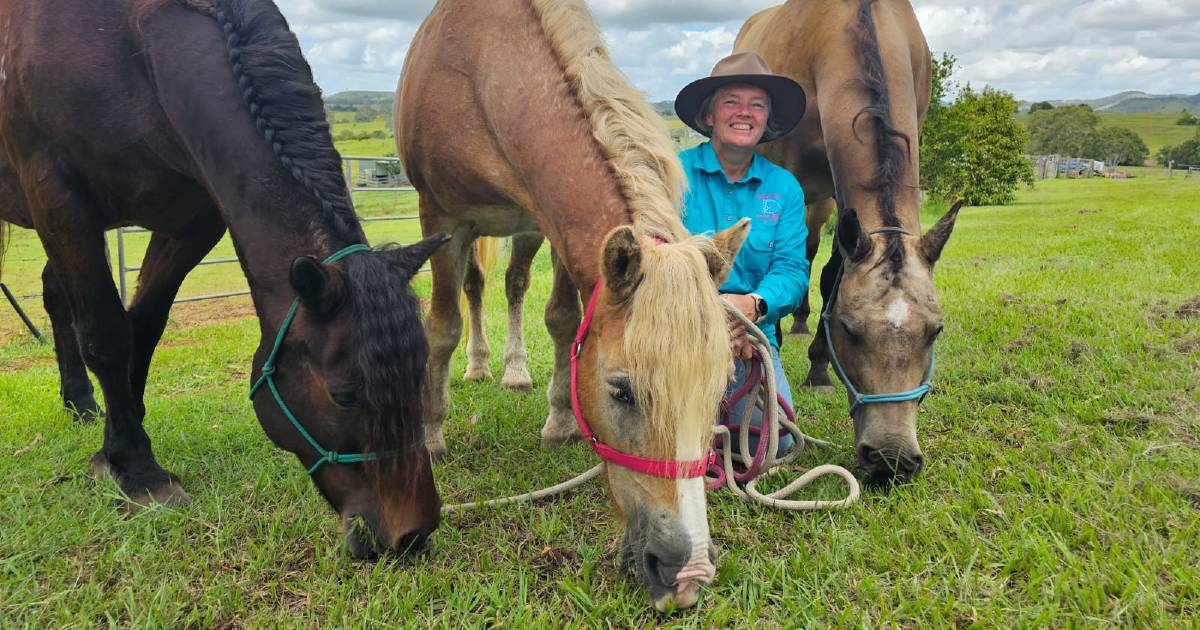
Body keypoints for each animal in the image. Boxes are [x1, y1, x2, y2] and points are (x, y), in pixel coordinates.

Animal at [0, 0, 446, 556]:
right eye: (343, 395)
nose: (412, 533)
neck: (126, 46)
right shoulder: (60, 199)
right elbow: (107, 335)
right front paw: (138, 472)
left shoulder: (192, 220)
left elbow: (145, 325)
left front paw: (122, 436)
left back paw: (82, 403)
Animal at [398, 0, 744, 609]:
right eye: (621, 391)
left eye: (720, 389)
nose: (688, 574)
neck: (481, 69)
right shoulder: (441, 217)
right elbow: (442, 325)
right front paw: (431, 431)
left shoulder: (552, 224)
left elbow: (563, 321)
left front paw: (560, 419)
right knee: (474, 292)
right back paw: (480, 366)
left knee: (513, 285)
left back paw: (513, 371)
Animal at [724, 0, 960, 484]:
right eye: (849, 329)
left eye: (936, 331)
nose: (891, 458)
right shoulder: (790, 174)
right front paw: (791, 351)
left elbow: (833, 271)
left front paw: (818, 364)